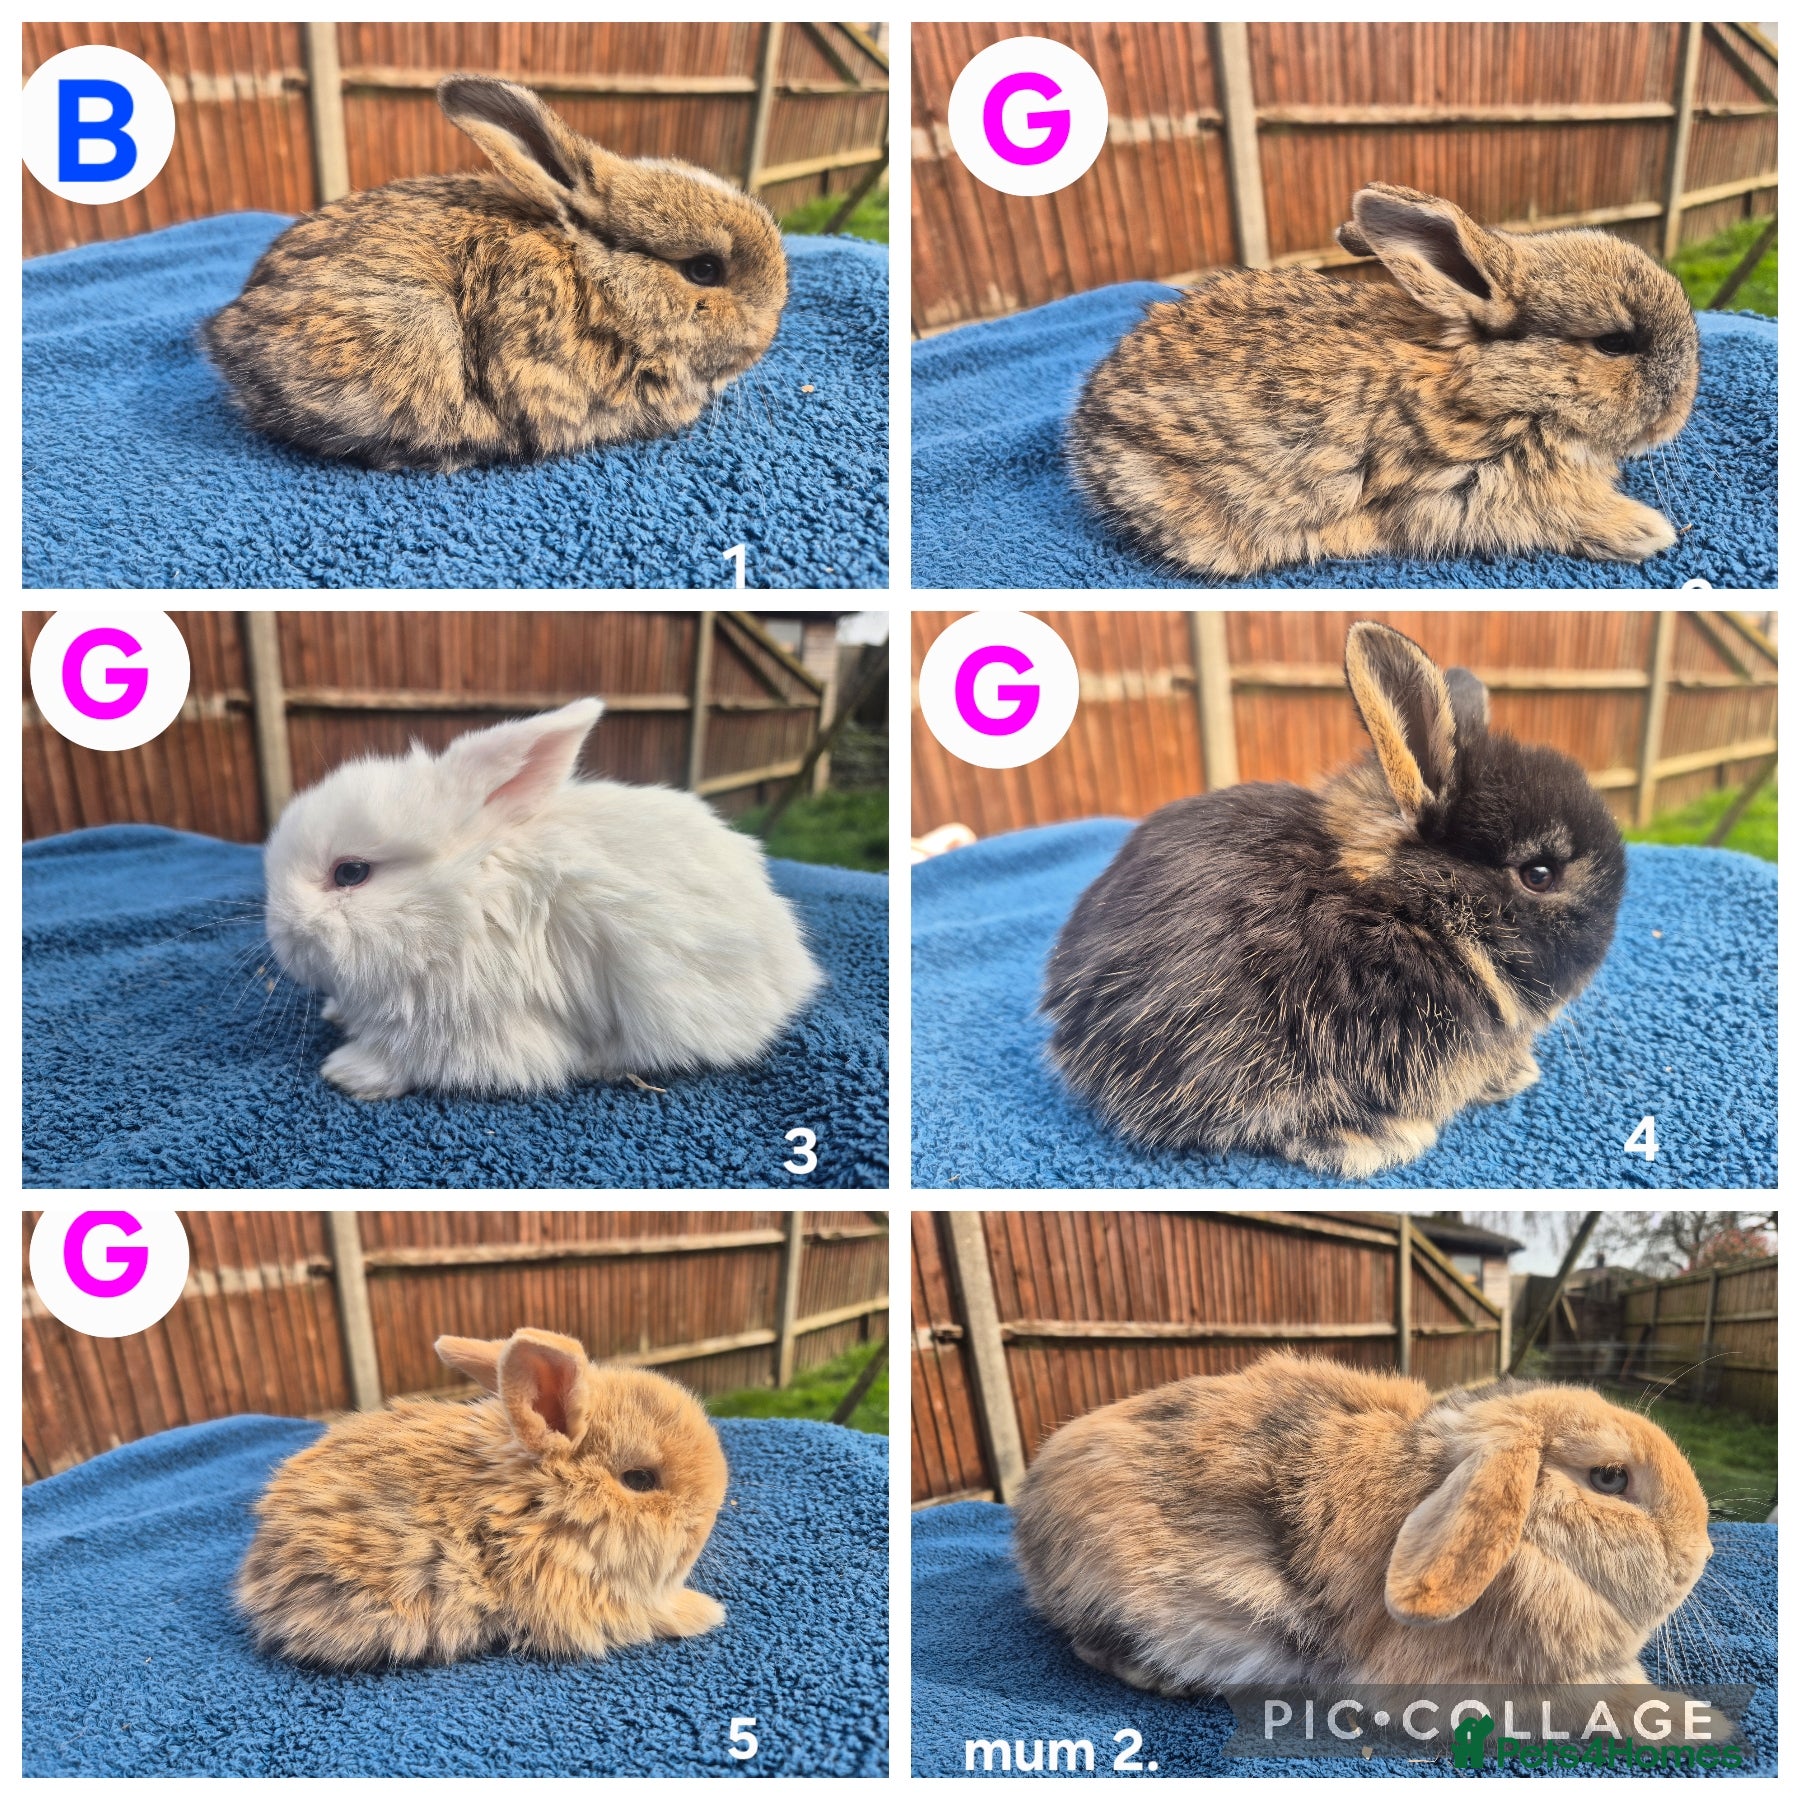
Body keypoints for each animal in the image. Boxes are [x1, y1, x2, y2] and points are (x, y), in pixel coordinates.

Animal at [263, 697, 823, 1099]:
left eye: (350, 872)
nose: (280, 937)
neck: (465, 899)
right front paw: (336, 1016)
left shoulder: (473, 1030)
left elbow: (412, 1059)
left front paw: (347, 1072)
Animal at [1068, 182, 1700, 576]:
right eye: (1614, 343)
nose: (1681, 409)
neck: (1505, 386)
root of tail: (1087, 423)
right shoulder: (1466, 490)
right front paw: (1648, 530)